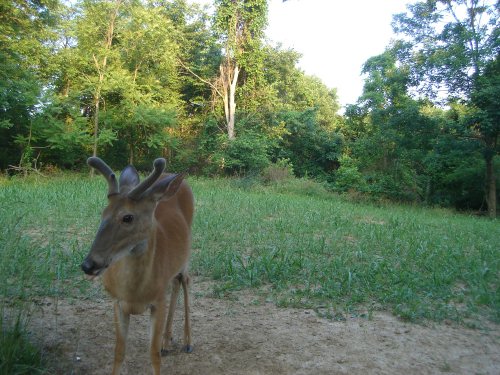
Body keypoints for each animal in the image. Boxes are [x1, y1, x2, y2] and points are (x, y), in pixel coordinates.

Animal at [80, 157, 193, 374]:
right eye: (103, 213)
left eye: (127, 217)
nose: (88, 264)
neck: (135, 293)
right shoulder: (117, 302)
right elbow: (119, 352)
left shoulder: (158, 301)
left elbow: (154, 355)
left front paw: (161, 348)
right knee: (176, 282)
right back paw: (167, 341)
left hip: (187, 253)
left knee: (185, 280)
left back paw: (187, 341)